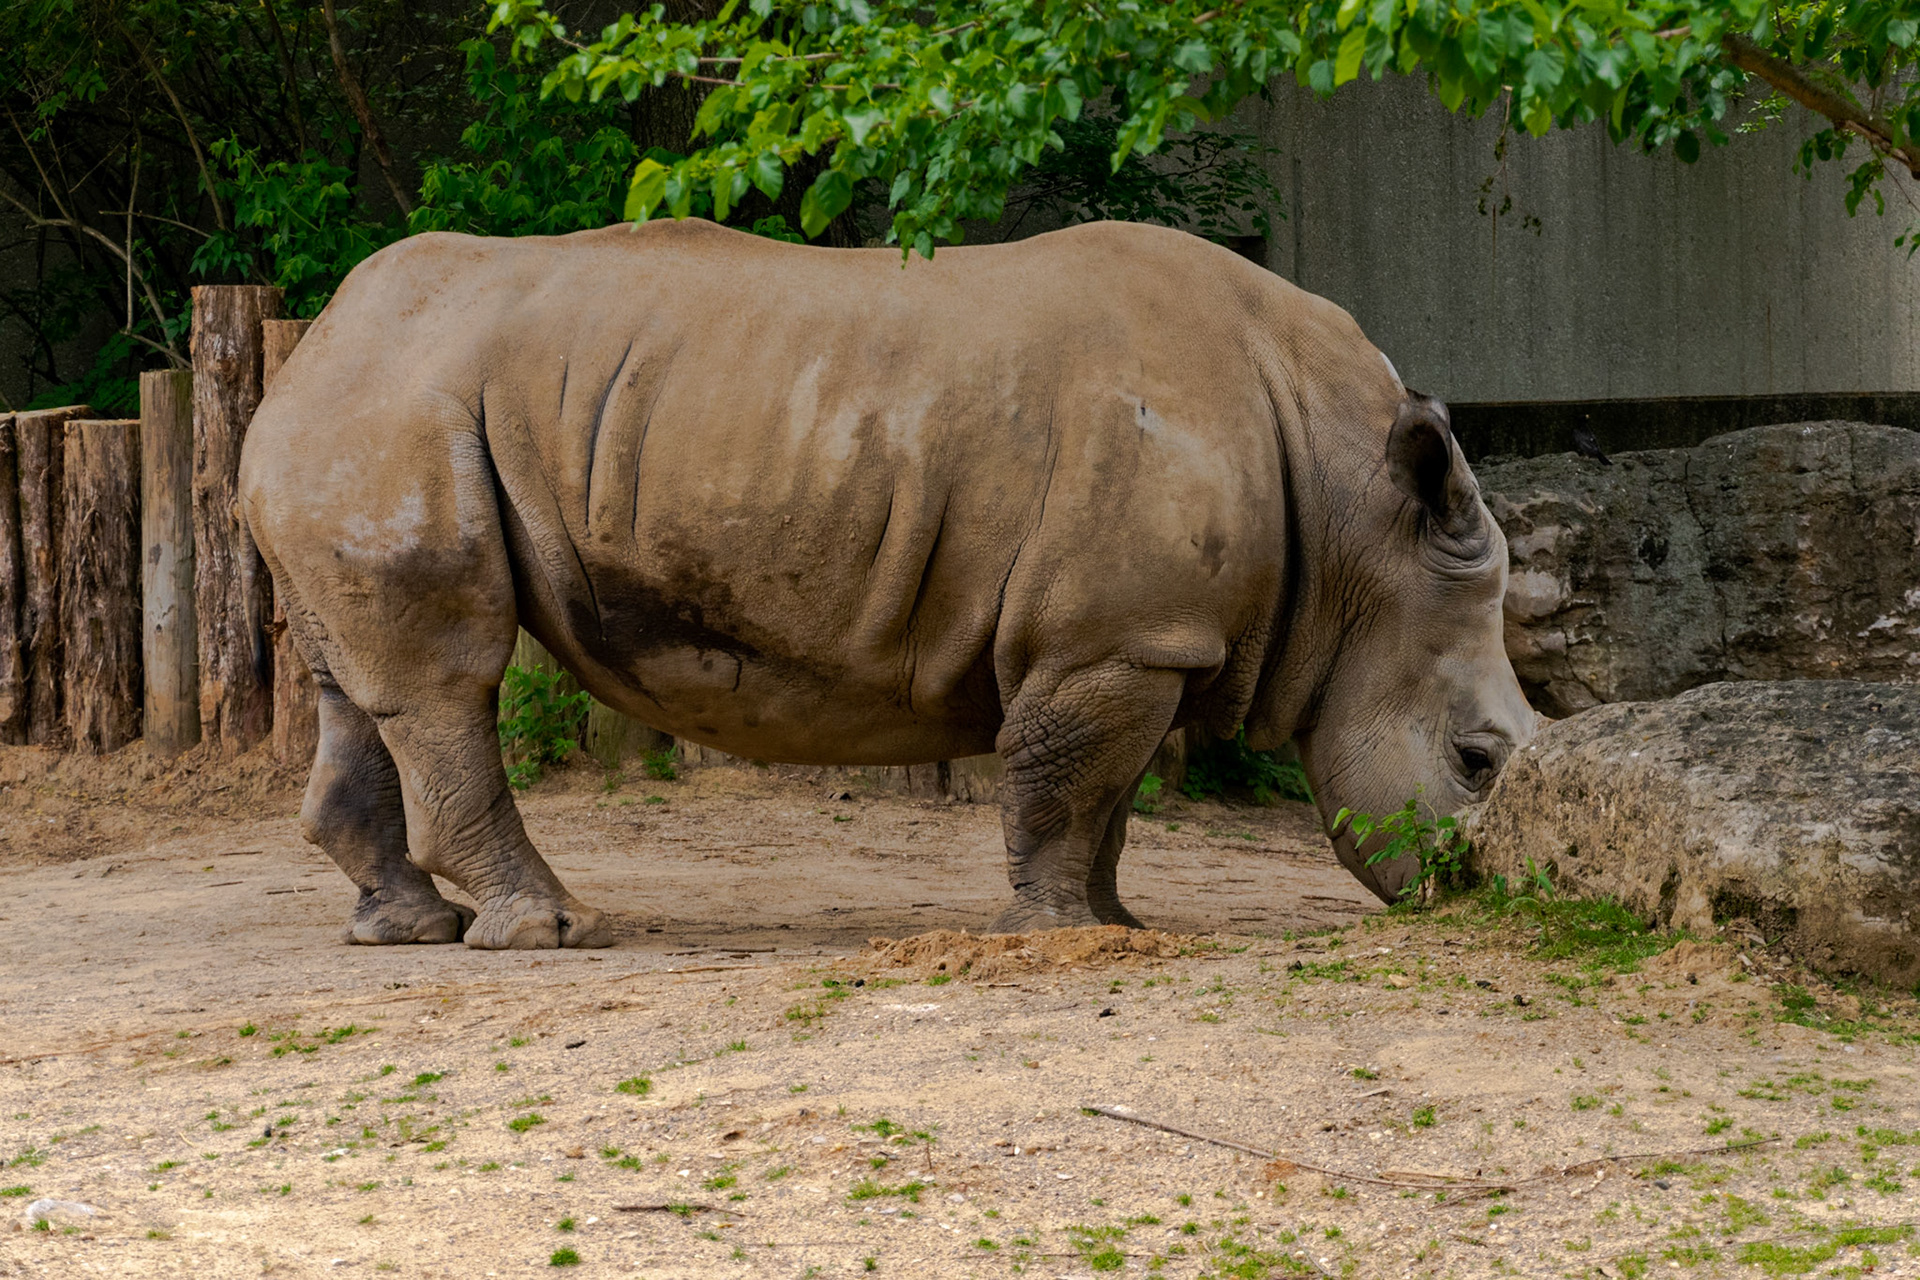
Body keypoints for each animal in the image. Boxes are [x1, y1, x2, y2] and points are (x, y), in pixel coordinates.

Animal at [240, 218, 1534, 949]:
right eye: (1477, 760)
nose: (1480, 898)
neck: (1359, 523)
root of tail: (300, 357)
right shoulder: (1117, 635)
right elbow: (1066, 784)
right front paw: (1049, 936)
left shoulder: (1133, 637)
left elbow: (1107, 795)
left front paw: (1117, 925)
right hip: (397, 409)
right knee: (449, 678)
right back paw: (544, 932)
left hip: (370, 418)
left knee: (355, 682)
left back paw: (407, 930)